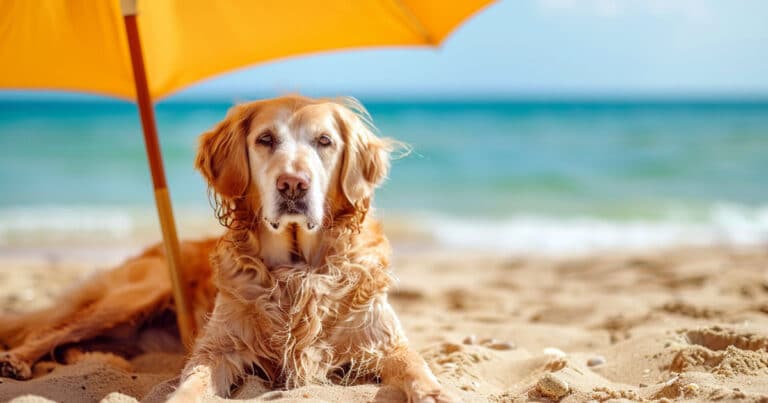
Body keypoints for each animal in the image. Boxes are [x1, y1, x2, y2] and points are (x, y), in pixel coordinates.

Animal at [0, 95, 456, 403]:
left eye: (324, 141)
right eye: (266, 139)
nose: (293, 184)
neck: (298, 270)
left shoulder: (384, 342)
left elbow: (416, 366)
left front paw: (435, 392)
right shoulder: (219, 348)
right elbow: (193, 382)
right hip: (137, 292)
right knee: (52, 328)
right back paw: (18, 359)